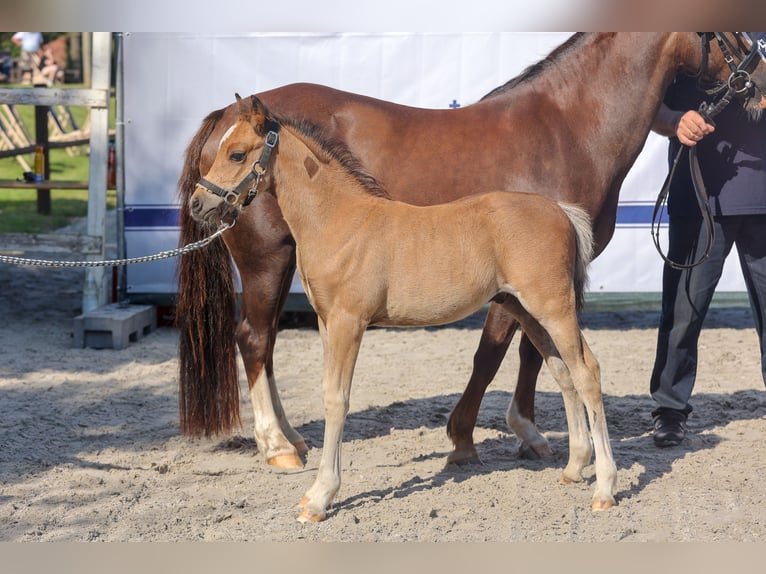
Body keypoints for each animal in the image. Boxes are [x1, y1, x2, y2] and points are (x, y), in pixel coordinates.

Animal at [177, 33, 766, 470]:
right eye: (733, 30)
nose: (759, 82)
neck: (566, 127)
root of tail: (224, 114)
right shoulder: (516, 281)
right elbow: (496, 353)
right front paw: (471, 437)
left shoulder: (537, 278)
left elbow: (531, 352)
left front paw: (526, 431)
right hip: (266, 260)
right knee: (253, 338)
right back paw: (277, 446)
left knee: (266, 343)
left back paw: (294, 439)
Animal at [192, 95, 616, 528]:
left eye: (237, 153)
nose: (198, 203)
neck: (339, 222)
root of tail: (561, 210)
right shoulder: (327, 323)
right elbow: (329, 392)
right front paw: (315, 493)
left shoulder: (349, 322)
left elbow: (337, 399)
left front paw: (320, 498)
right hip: (526, 310)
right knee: (563, 372)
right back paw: (573, 469)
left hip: (553, 308)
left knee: (587, 372)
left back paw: (604, 490)